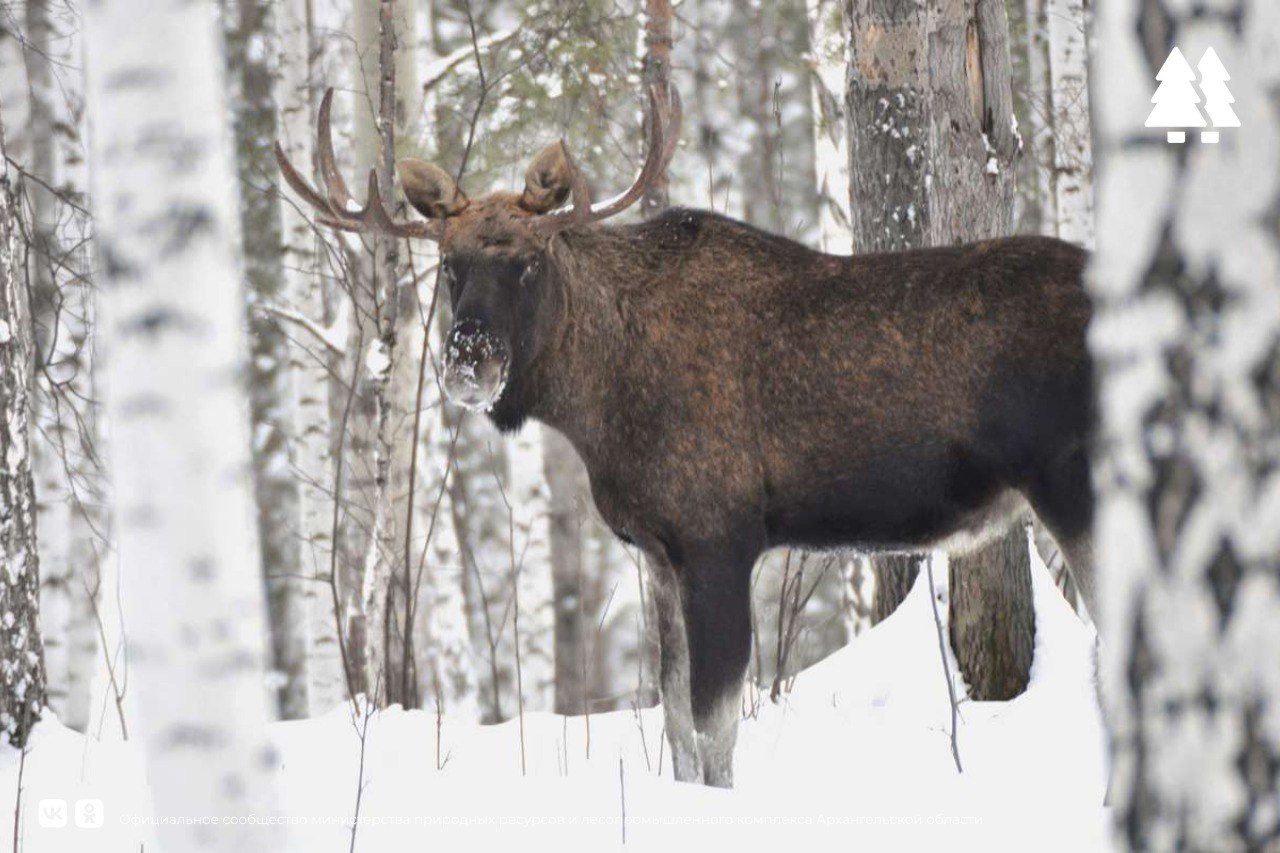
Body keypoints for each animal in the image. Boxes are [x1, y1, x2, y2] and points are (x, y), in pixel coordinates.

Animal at [275, 83, 1095, 788]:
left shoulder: (718, 539)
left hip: (1075, 484)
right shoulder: (657, 549)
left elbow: (713, 725)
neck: (597, 405)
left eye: (530, 264)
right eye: (450, 264)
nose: (469, 361)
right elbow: (673, 720)